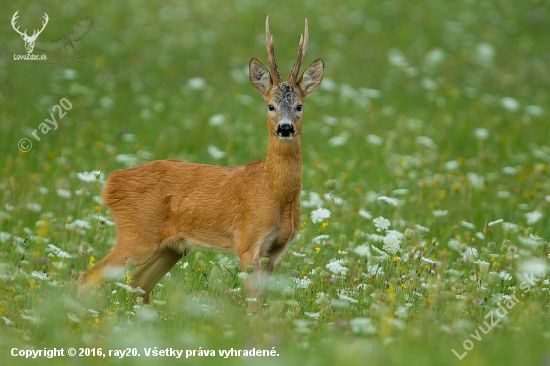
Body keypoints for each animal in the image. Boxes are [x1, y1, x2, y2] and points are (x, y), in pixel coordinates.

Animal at [80, 15, 326, 310]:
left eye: (299, 105)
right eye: (270, 106)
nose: (285, 128)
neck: (274, 190)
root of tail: (111, 183)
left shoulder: (275, 251)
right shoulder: (248, 243)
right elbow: (254, 306)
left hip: (172, 247)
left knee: (138, 284)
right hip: (138, 234)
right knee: (89, 276)